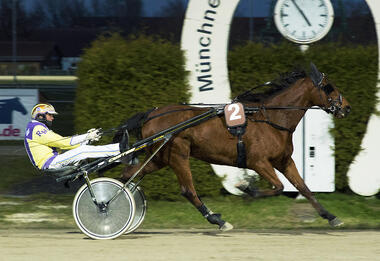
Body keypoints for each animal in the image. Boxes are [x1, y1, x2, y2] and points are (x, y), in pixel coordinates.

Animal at [116, 63, 350, 230]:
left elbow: (304, 188)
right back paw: (217, 220)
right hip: (178, 154)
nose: (346, 107)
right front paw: (246, 188)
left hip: (159, 158)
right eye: (330, 87)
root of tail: (151, 114)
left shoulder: (284, 161)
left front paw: (331, 217)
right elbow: (279, 187)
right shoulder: (258, 162)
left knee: (128, 174)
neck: (271, 119)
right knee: (188, 190)